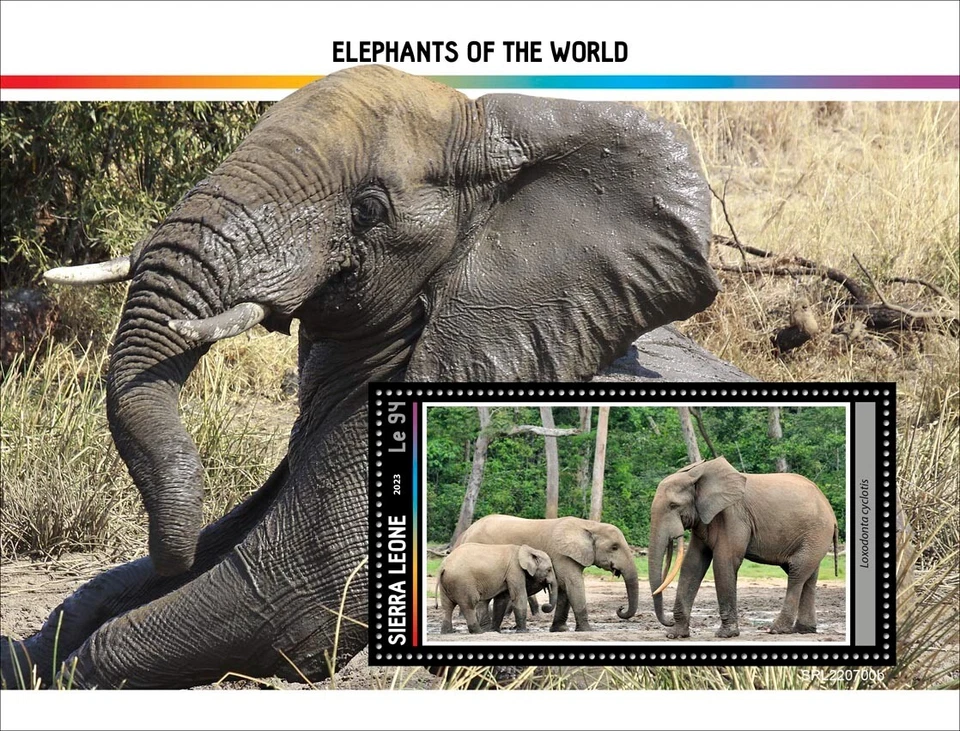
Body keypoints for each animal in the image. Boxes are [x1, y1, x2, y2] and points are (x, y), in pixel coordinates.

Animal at [456, 516, 639, 632]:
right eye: (614, 547)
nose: (620, 608)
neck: (589, 525)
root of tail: (466, 533)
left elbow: (565, 588)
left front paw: (560, 630)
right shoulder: (561, 554)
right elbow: (573, 584)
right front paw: (588, 630)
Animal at [648, 456, 839, 639]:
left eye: (673, 505)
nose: (669, 621)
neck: (696, 475)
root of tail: (831, 512)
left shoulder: (733, 515)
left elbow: (724, 562)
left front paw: (726, 634)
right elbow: (692, 564)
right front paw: (675, 635)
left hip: (817, 533)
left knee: (796, 574)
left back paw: (777, 630)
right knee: (808, 577)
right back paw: (804, 630)